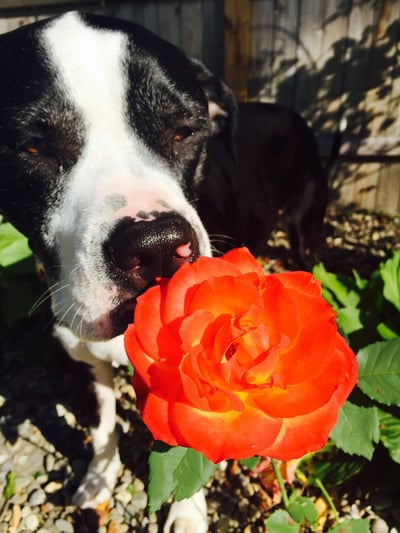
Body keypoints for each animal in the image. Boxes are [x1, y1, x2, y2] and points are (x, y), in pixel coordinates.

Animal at [0, 10, 328, 528]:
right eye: (33, 147)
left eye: (185, 131)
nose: (154, 248)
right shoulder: (81, 352)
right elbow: (103, 423)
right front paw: (99, 477)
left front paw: (187, 513)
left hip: (305, 230)